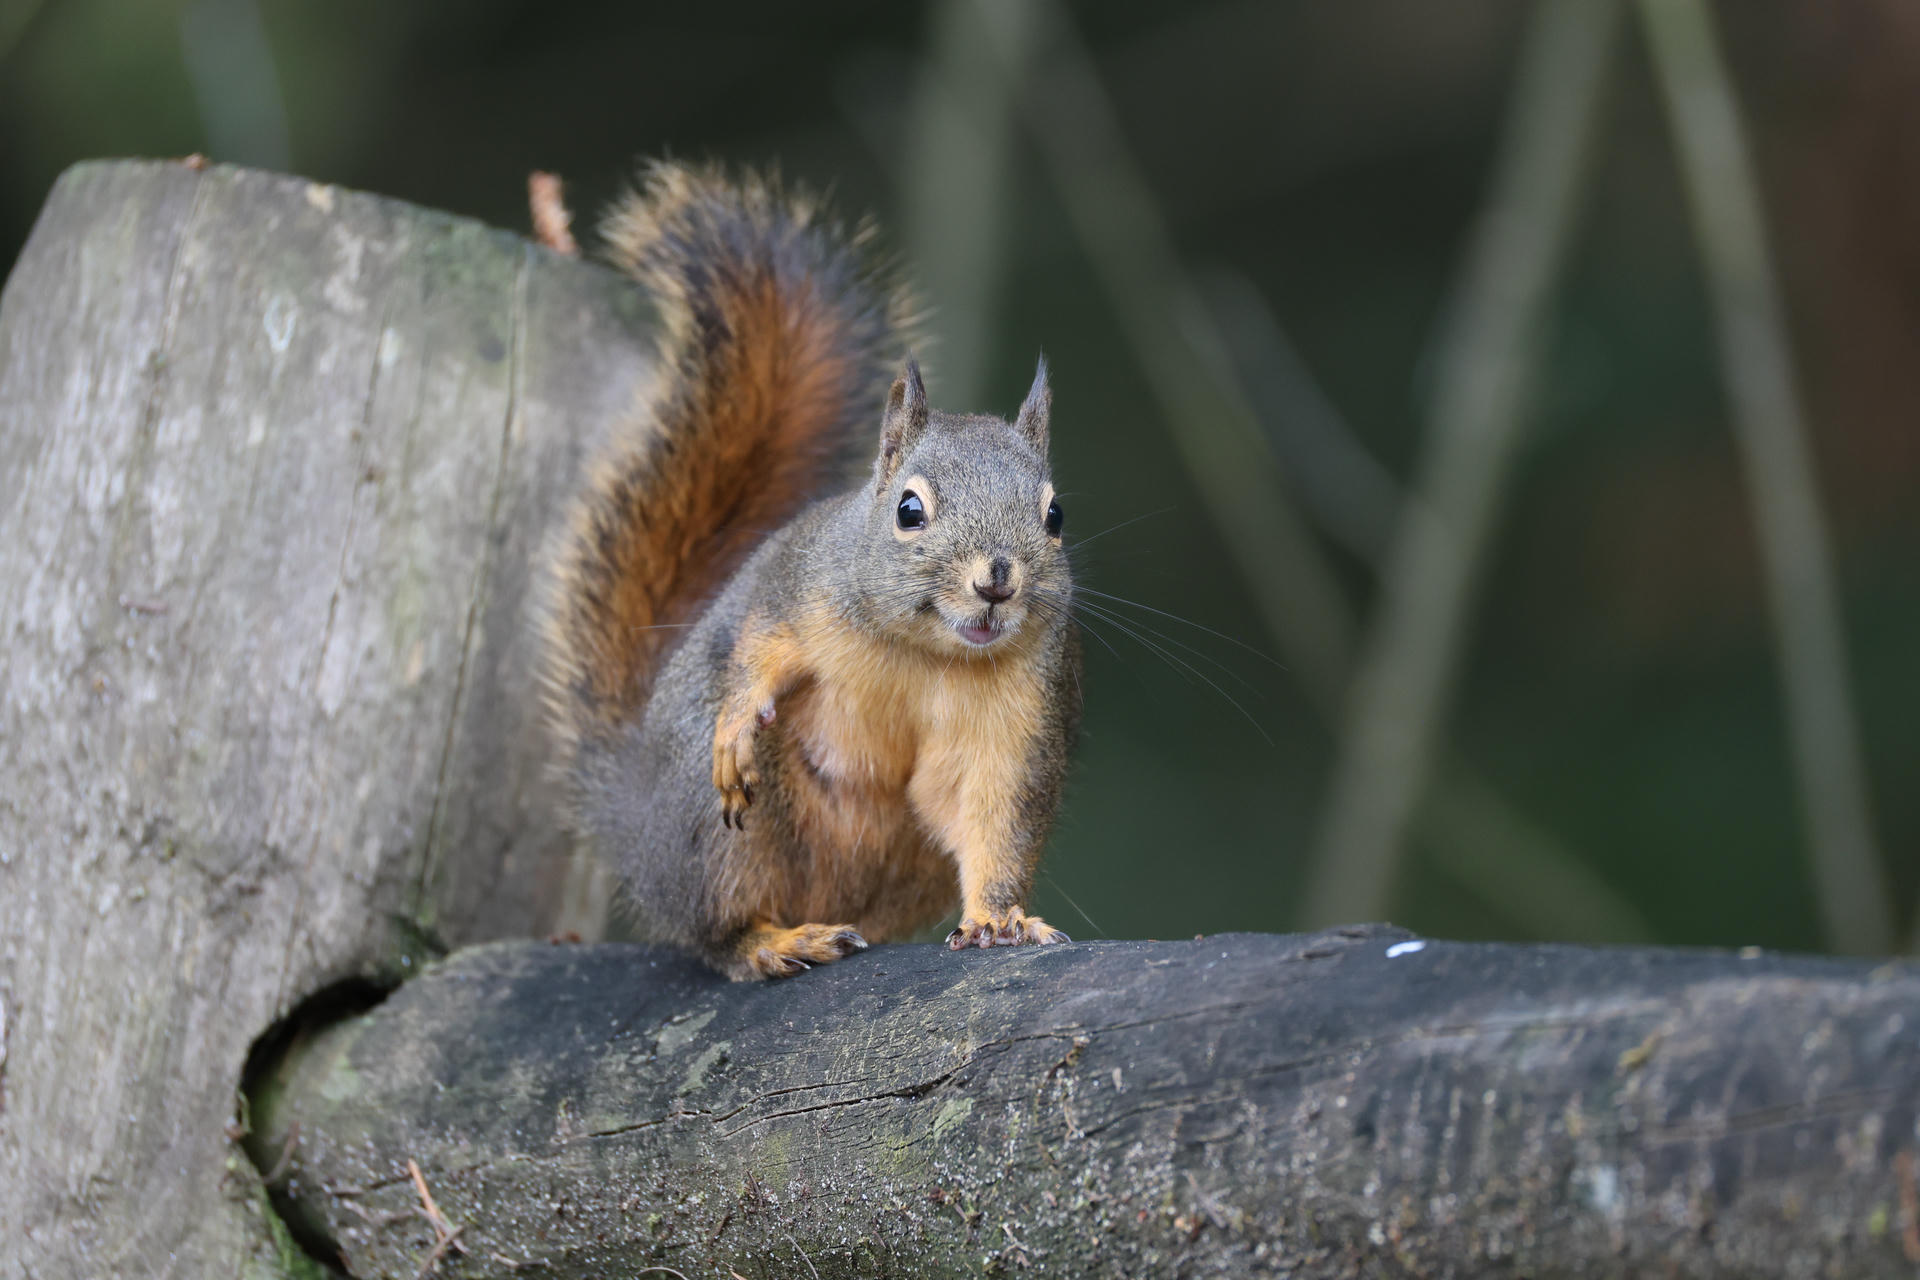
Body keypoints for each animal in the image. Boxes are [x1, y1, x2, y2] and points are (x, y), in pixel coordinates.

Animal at [540, 161, 1082, 981]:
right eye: (909, 509)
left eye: (1055, 515)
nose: (997, 579)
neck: (927, 652)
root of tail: (632, 826)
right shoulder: (795, 584)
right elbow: (756, 643)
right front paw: (739, 716)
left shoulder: (1023, 714)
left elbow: (996, 817)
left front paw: (999, 918)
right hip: (716, 834)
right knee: (718, 931)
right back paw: (776, 940)